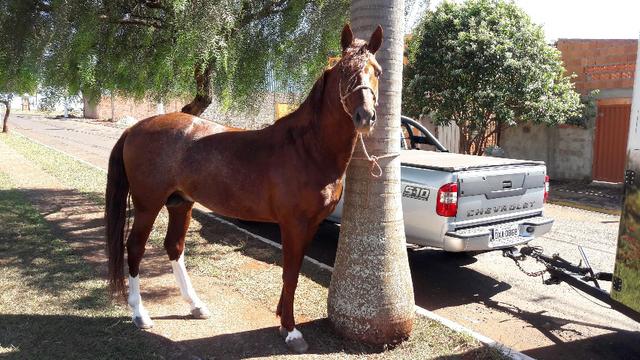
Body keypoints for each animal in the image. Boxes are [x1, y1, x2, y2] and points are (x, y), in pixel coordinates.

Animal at [106, 23, 380, 352]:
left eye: (377, 71)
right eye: (344, 71)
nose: (365, 116)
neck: (307, 148)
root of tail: (135, 127)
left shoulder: (312, 224)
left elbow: (293, 272)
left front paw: (282, 319)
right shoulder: (294, 224)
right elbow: (290, 274)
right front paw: (291, 331)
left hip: (180, 203)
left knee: (174, 247)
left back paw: (196, 305)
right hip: (149, 204)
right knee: (135, 247)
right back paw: (140, 313)